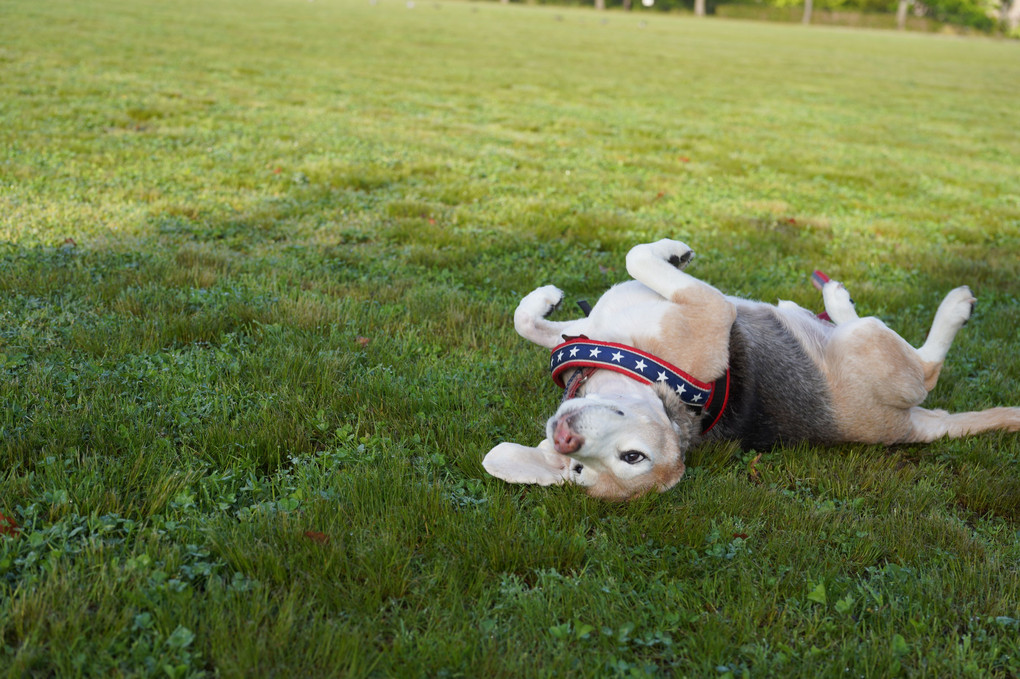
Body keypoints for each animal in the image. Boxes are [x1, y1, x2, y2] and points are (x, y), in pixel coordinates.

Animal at [483, 237, 1020, 497]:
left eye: (631, 458)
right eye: (580, 470)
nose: (564, 440)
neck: (645, 373)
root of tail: (905, 428)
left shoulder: (612, 321)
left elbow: (535, 319)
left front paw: (546, 299)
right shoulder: (693, 310)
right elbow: (631, 263)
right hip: (872, 346)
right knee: (925, 368)